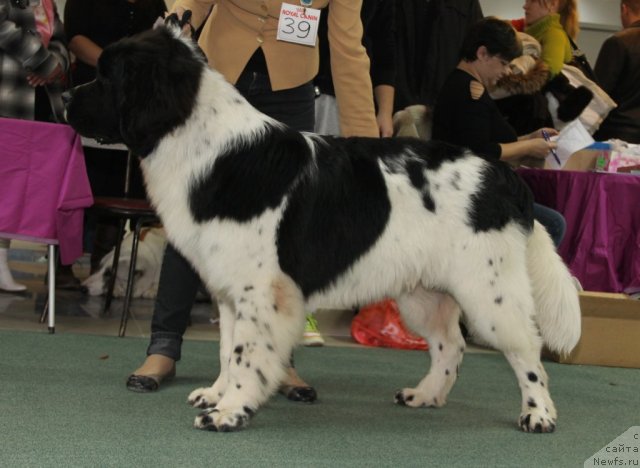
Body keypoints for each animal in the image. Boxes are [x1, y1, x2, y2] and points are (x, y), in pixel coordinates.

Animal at [65, 20, 580, 434]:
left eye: (108, 76)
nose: (66, 96)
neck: (205, 144)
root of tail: (503, 175)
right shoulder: (230, 290)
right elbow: (228, 348)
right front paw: (218, 394)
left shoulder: (259, 290)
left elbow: (246, 353)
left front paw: (230, 411)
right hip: (423, 292)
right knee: (449, 345)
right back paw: (425, 394)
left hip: (488, 291)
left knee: (526, 350)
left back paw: (538, 415)